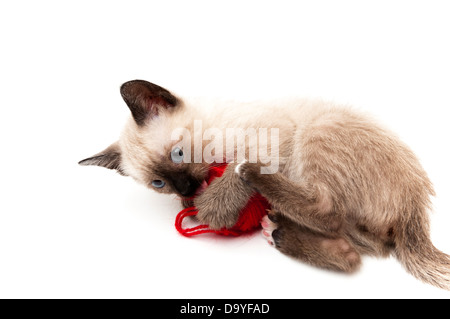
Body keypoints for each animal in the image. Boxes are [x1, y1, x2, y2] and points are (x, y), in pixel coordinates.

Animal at [79, 79, 448, 290]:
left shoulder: (272, 135)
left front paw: (212, 207)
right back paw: (277, 230)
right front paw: (190, 204)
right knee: (349, 253)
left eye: (179, 153)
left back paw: (255, 182)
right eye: (158, 183)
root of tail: (415, 207)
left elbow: (232, 171)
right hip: (355, 227)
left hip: (317, 131)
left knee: (327, 210)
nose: (184, 189)